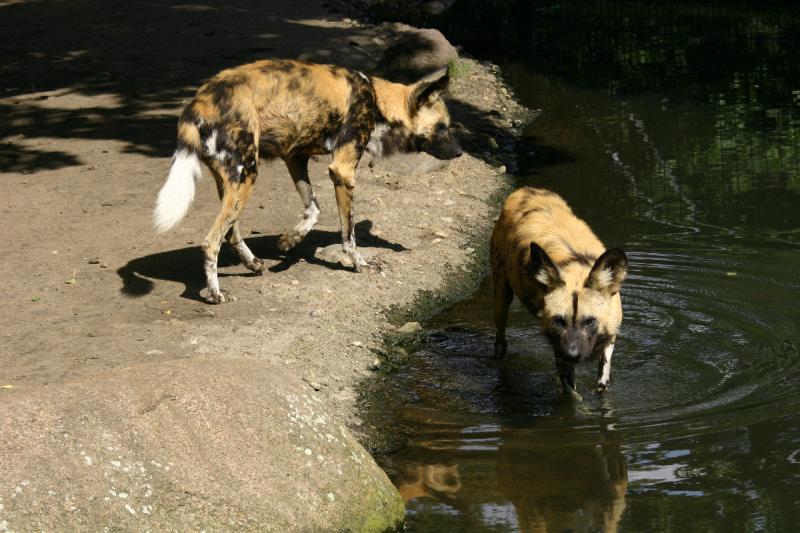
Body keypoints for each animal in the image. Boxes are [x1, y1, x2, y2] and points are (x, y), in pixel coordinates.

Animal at [153, 58, 462, 304]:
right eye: (442, 127)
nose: (460, 152)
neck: (376, 101)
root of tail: (197, 105)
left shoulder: (296, 158)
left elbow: (314, 209)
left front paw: (290, 241)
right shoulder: (342, 170)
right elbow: (348, 235)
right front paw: (359, 264)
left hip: (233, 181)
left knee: (230, 231)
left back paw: (253, 264)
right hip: (247, 174)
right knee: (210, 241)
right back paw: (216, 294)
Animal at [490, 187, 628, 394]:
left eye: (590, 321)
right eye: (559, 320)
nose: (571, 354)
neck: (576, 269)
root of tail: (523, 190)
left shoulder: (609, 339)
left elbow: (602, 382)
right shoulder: (560, 350)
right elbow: (572, 396)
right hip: (501, 297)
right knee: (500, 337)